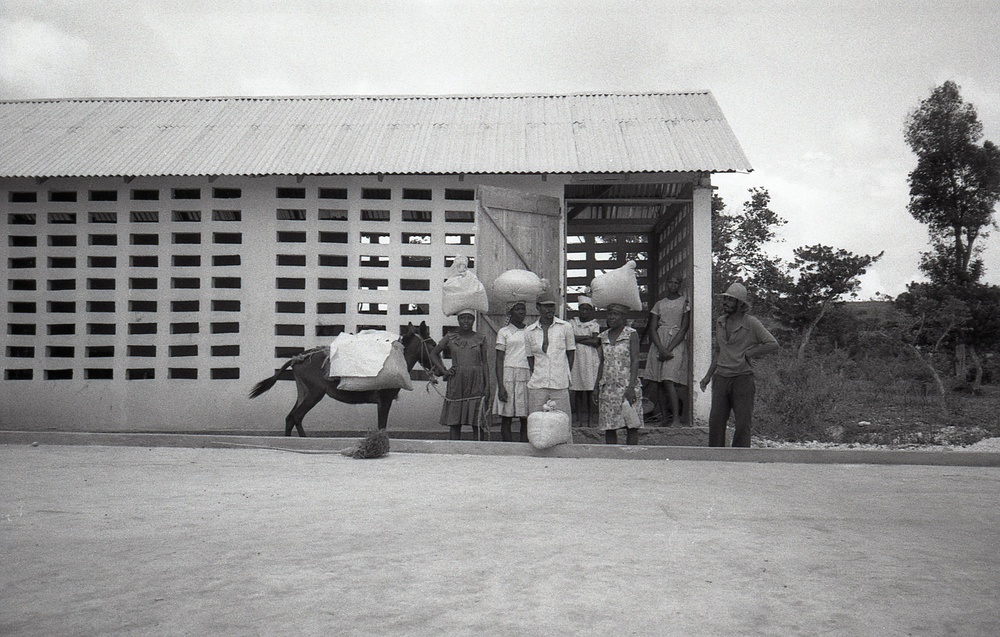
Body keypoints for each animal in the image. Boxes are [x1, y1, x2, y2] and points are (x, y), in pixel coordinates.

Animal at [248, 320, 436, 434]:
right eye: (433, 345)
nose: (440, 371)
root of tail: (297, 358)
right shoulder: (385, 400)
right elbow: (381, 426)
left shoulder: (383, 402)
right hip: (314, 393)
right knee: (296, 417)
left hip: (303, 392)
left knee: (291, 418)